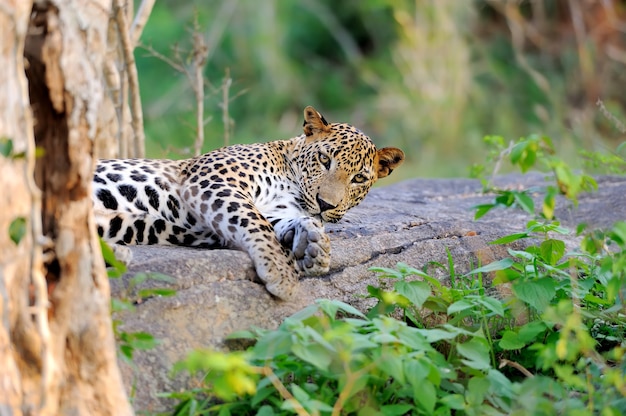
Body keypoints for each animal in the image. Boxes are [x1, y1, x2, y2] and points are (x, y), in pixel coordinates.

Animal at [92, 106, 404, 300]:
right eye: (324, 159)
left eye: (359, 178)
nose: (325, 204)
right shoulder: (214, 181)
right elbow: (254, 222)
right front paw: (281, 273)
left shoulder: (275, 209)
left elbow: (278, 221)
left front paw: (314, 244)